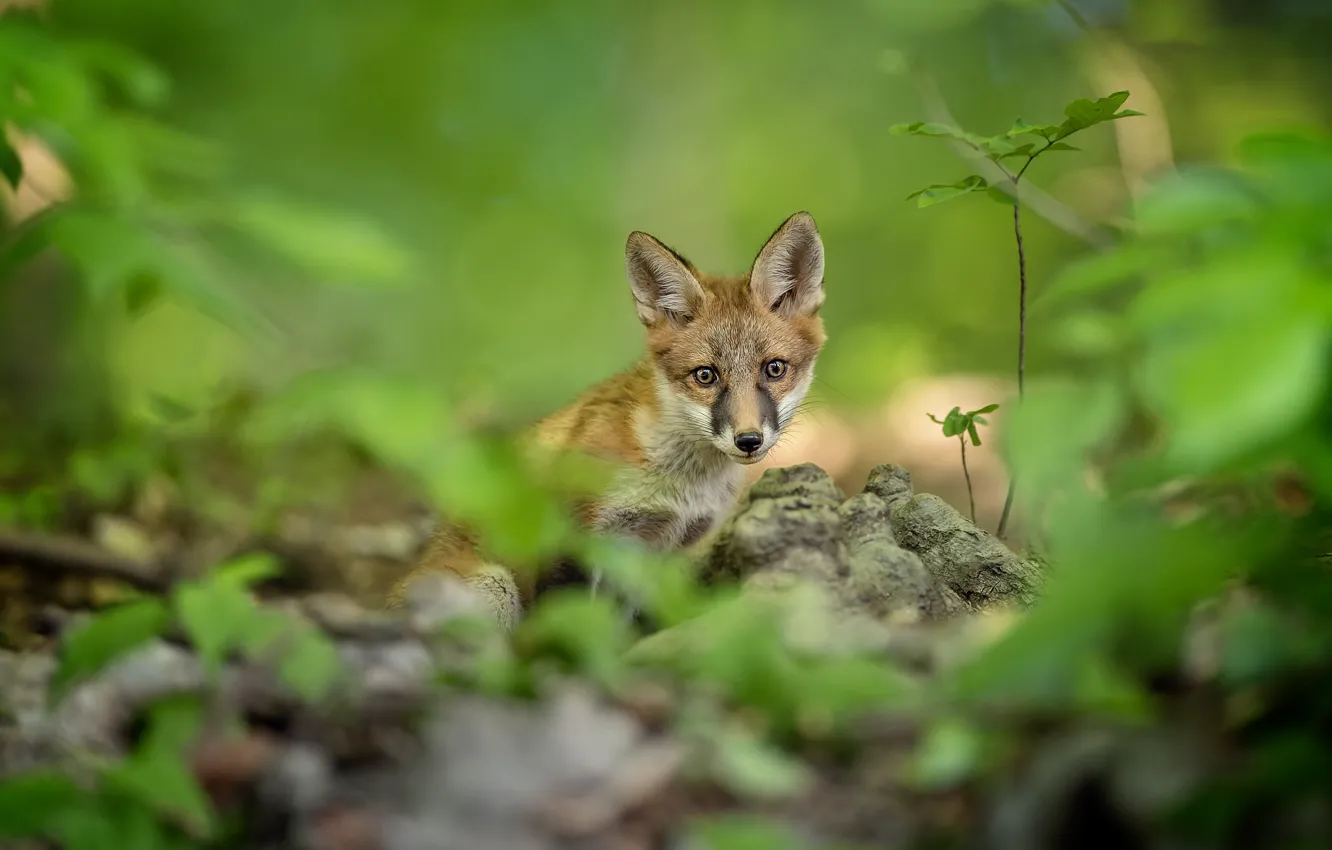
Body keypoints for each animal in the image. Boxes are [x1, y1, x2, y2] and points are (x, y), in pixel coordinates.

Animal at [387, 211, 828, 628]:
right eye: (705, 375)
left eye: (774, 369)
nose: (748, 440)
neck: (678, 483)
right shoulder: (573, 537)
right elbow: (565, 627)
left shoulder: (660, 556)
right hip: (496, 586)